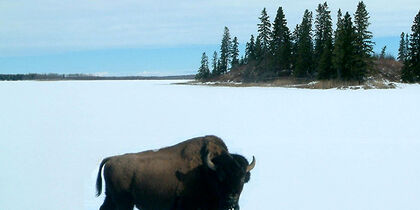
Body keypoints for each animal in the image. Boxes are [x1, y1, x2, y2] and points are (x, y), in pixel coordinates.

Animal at [97, 135, 254, 209]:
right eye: (221, 177)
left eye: (242, 178)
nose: (231, 199)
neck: (206, 171)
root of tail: (111, 159)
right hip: (124, 201)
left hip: (111, 197)